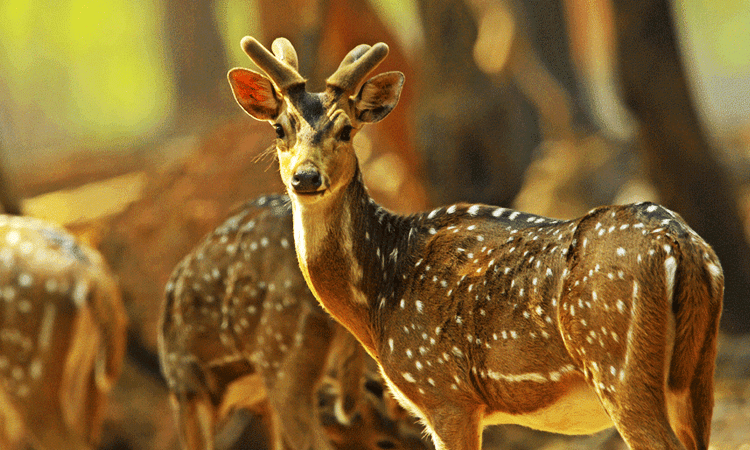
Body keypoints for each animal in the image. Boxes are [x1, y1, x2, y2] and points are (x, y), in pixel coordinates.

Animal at [226, 36, 724, 450]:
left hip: (618, 365)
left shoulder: (444, 392)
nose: (306, 177)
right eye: (279, 128)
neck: (378, 298)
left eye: (346, 129)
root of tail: (682, 246)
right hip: (698, 374)